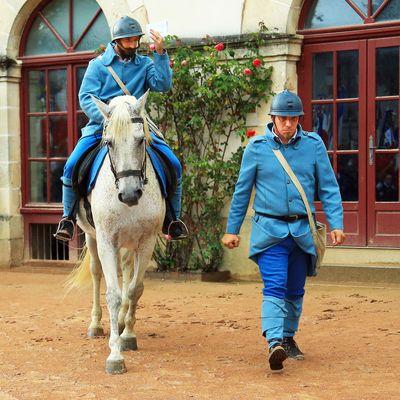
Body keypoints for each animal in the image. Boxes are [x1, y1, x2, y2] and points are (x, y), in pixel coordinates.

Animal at [67, 91, 164, 376]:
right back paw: (96, 325)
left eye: (141, 139)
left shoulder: (147, 242)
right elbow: (112, 294)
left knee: (127, 270)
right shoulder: (107, 241)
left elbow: (134, 289)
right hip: (92, 238)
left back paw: (120, 323)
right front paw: (114, 355)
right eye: (108, 143)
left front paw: (128, 335)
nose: (130, 194)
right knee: (97, 274)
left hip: (129, 243)